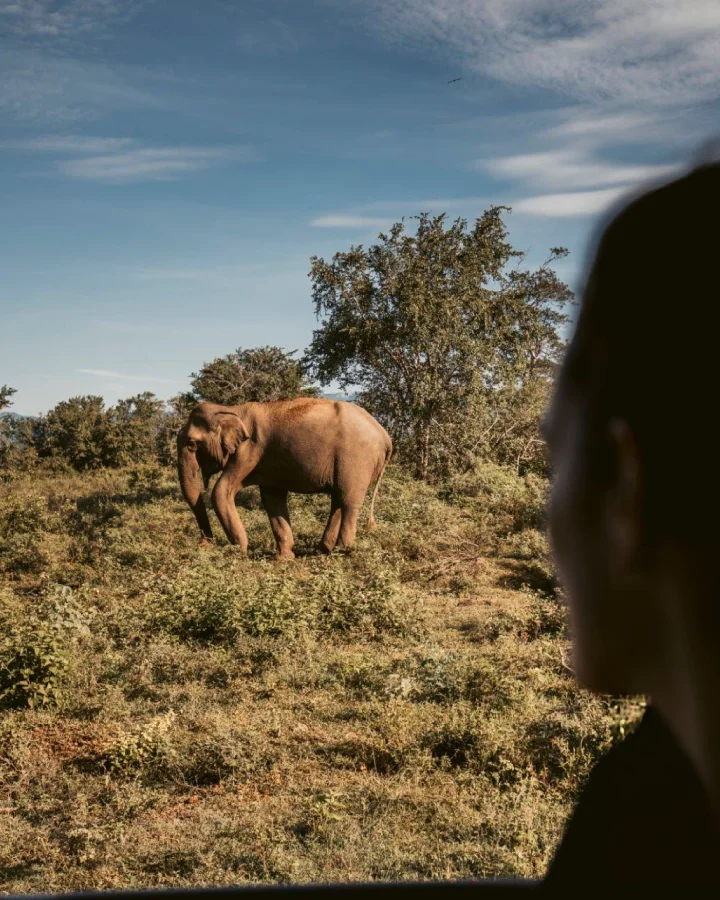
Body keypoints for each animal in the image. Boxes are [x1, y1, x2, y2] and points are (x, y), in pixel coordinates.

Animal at [177, 398, 393, 559]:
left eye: (192, 444)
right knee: (338, 500)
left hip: (357, 460)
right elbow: (272, 499)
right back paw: (324, 551)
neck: (231, 409)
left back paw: (341, 553)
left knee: (349, 502)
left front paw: (239, 551)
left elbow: (221, 491)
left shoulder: (250, 449)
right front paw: (283, 558)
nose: (204, 543)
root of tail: (385, 436)